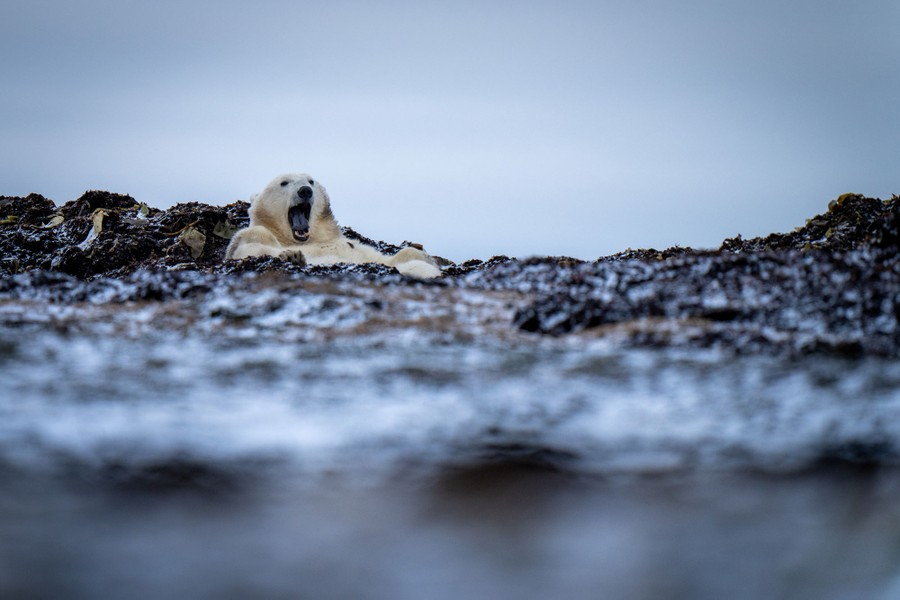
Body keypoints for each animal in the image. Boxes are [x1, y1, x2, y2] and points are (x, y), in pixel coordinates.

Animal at [225, 173, 442, 279]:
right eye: (284, 182)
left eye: (311, 181)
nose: (305, 190)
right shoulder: (253, 235)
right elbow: (251, 248)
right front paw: (291, 256)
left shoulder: (357, 247)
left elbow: (397, 256)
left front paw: (425, 256)